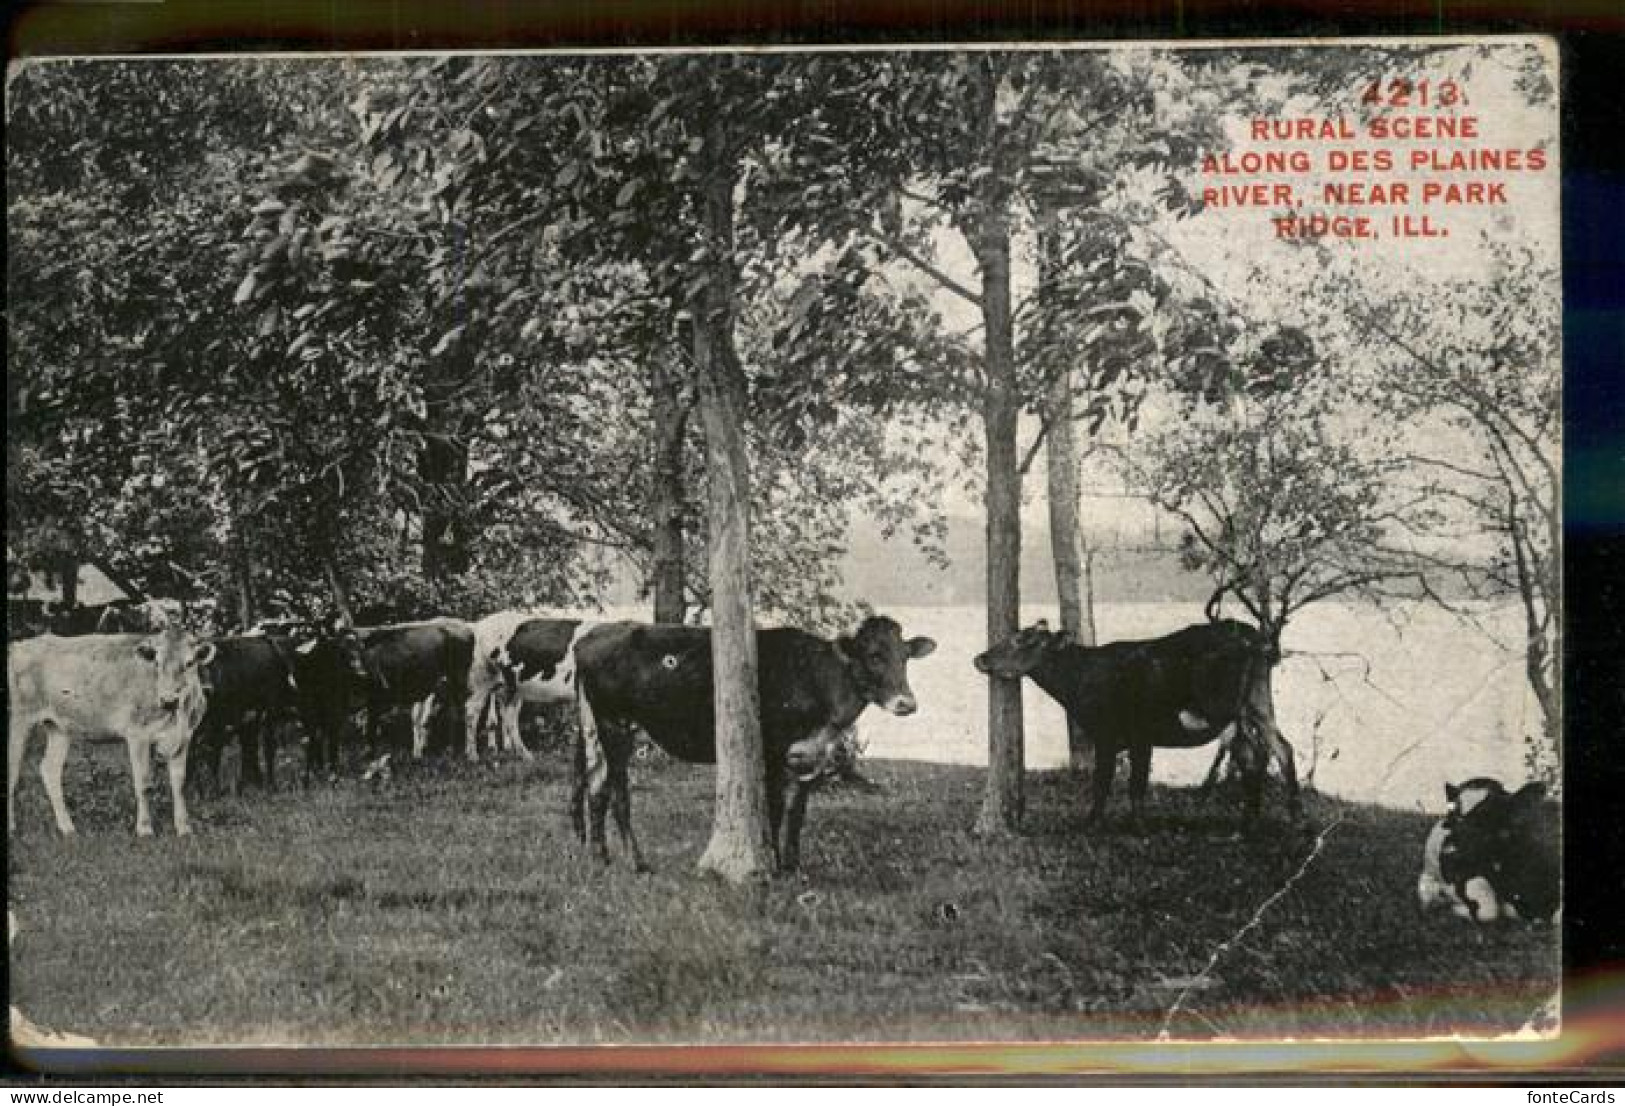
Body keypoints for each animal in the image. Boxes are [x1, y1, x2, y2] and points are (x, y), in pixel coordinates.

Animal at [568, 613, 936, 870]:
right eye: (874, 655)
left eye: (905, 656)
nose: (907, 703)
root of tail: (593, 636)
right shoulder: (772, 748)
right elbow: (774, 806)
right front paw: (772, 863)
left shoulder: (810, 753)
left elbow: (798, 810)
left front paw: (793, 865)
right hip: (614, 723)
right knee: (619, 792)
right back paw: (637, 862)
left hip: (599, 727)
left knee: (596, 787)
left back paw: (599, 857)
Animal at [968, 617, 1300, 825]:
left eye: (1021, 639)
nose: (979, 658)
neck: (1078, 685)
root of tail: (1259, 640)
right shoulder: (1136, 738)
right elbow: (1132, 782)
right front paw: (1131, 822)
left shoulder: (1117, 733)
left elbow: (1111, 782)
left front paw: (1099, 823)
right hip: (1258, 702)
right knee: (1275, 748)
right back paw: (1267, 818)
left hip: (1229, 707)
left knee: (1257, 752)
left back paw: (1276, 817)